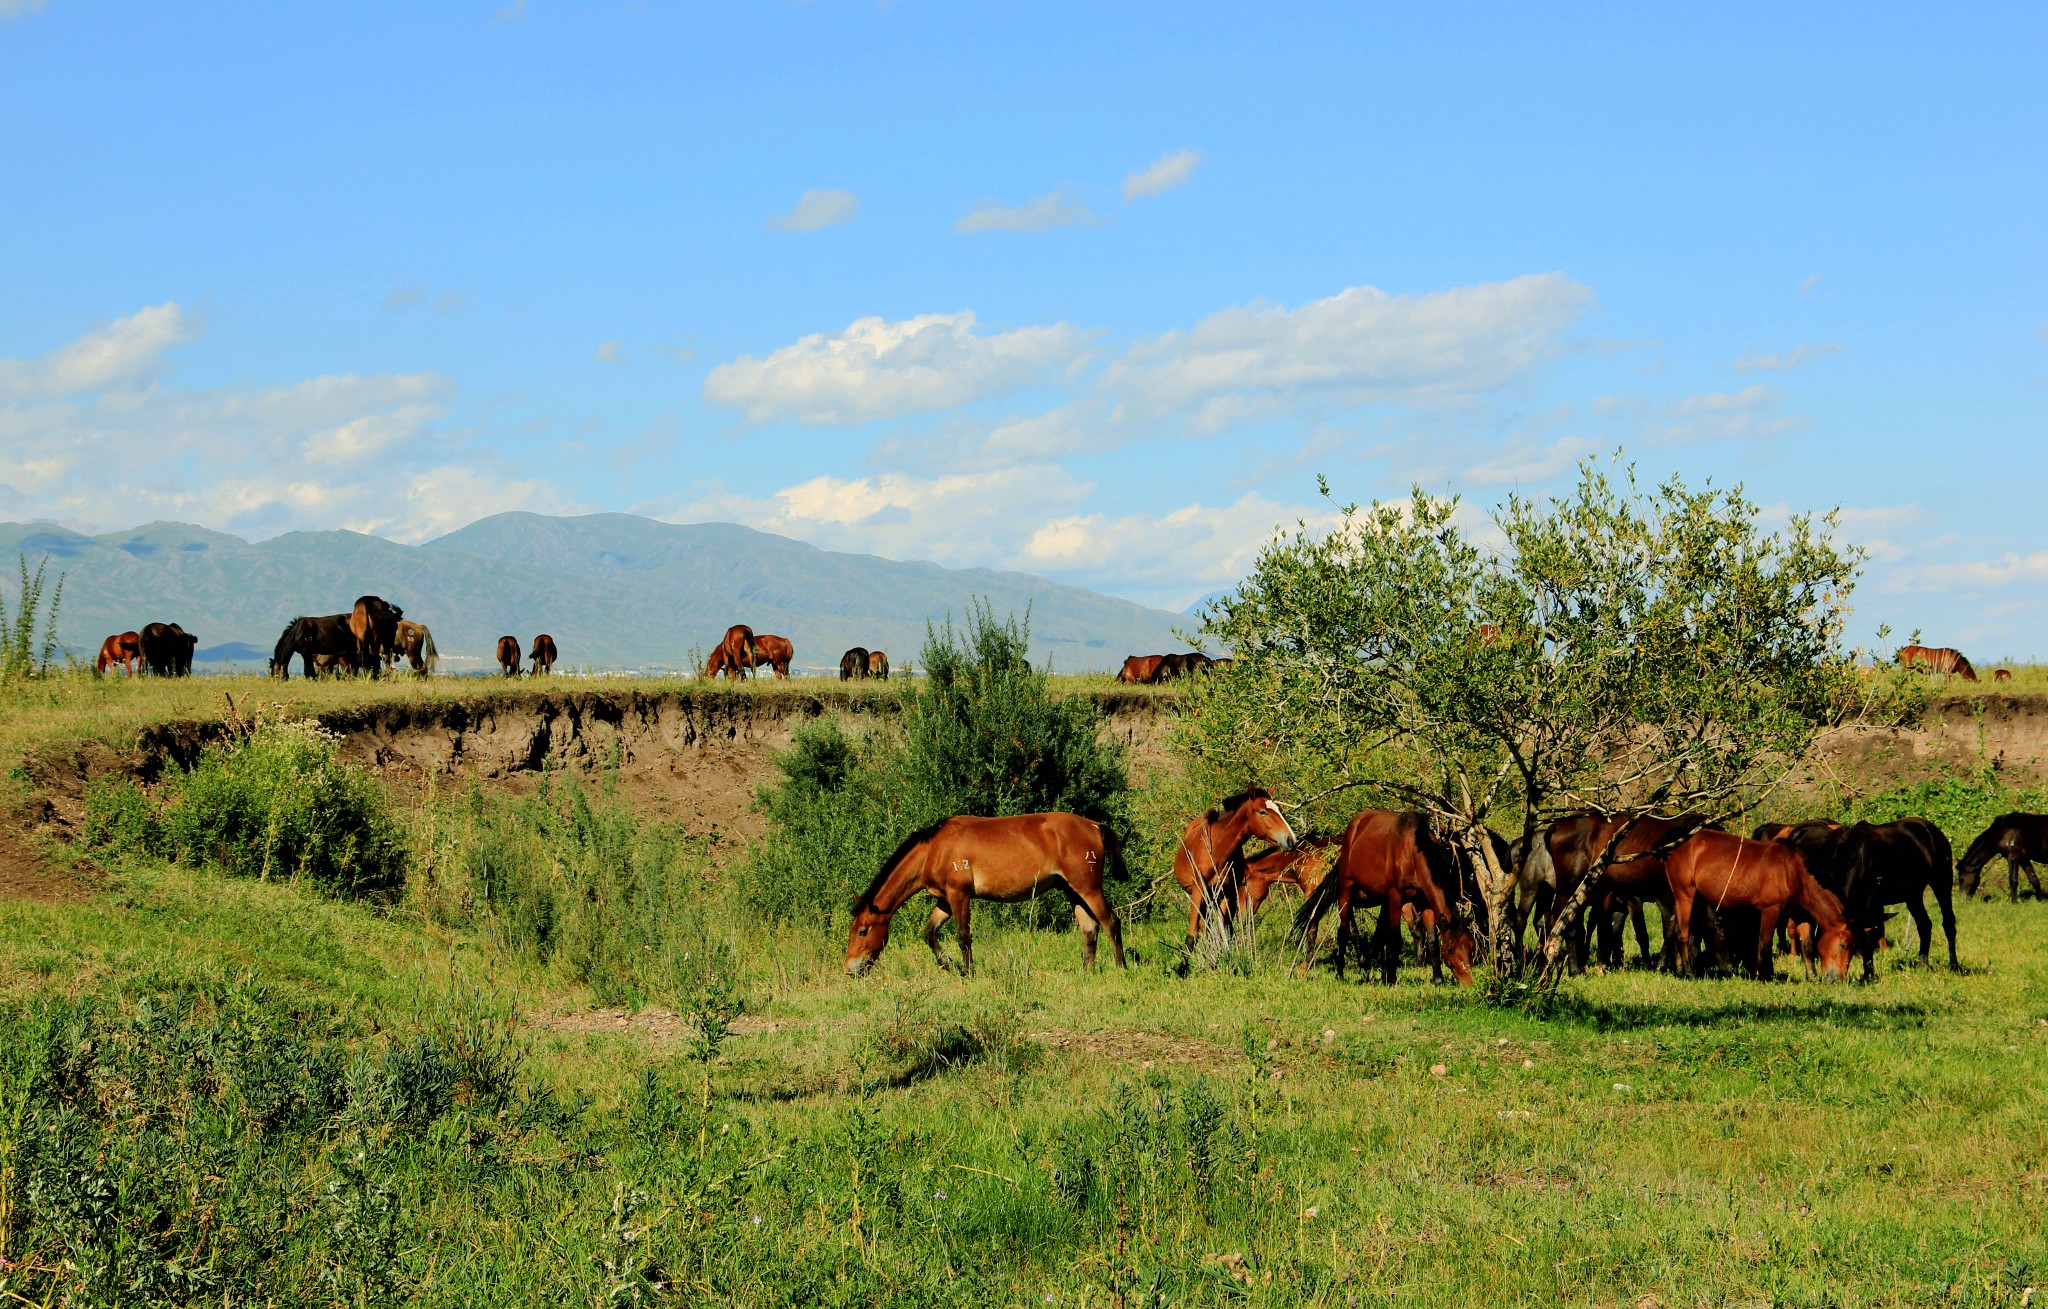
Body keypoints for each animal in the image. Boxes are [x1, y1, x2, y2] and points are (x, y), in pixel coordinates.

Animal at [847, 815, 1138, 979]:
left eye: (862, 931)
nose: (850, 970)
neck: (935, 848)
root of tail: (1094, 825)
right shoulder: (945, 900)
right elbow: (929, 933)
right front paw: (949, 966)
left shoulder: (959, 895)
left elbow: (963, 937)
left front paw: (969, 974)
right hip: (1072, 890)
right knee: (1089, 928)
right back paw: (1087, 972)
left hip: (1088, 887)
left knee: (1111, 922)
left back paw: (1120, 968)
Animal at [1171, 782, 1294, 946]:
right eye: (1263, 812)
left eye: (1279, 809)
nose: (1290, 839)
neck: (1217, 849)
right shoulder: (1198, 892)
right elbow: (1191, 936)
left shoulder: (1227, 894)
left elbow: (1224, 932)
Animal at [1294, 811, 1474, 983]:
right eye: (1451, 950)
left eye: (1471, 947)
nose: (1468, 982)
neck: (1412, 852)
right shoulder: (1396, 898)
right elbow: (1394, 939)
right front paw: (1393, 979)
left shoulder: (1425, 901)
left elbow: (1432, 941)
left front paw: (1438, 980)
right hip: (1345, 894)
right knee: (1343, 933)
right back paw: (1340, 974)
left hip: (1381, 901)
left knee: (1380, 935)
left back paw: (1382, 975)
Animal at [1662, 835, 1859, 979]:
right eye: (1843, 945)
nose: (1838, 979)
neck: (1793, 871)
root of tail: (1674, 850)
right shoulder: (1770, 910)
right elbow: (1765, 943)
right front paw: (1764, 975)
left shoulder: (1800, 915)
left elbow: (1808, 946)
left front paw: (1811, 977)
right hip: (1685, 895)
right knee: (1683, 934)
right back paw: (1688, 972)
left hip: (1697, 900)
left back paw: (1680, 971)